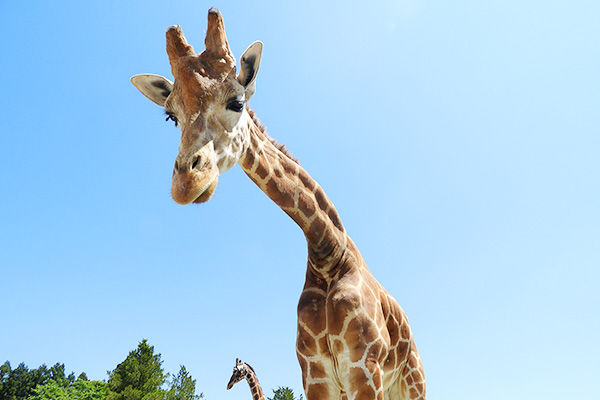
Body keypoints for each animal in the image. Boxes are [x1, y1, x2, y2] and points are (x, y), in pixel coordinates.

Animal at [131, 8, 426, 400]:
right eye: (171, 116)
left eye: (237, 102)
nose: (185, 184)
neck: (329, 254)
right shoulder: (315, 375)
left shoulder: (365, 369)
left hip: (412, 383)